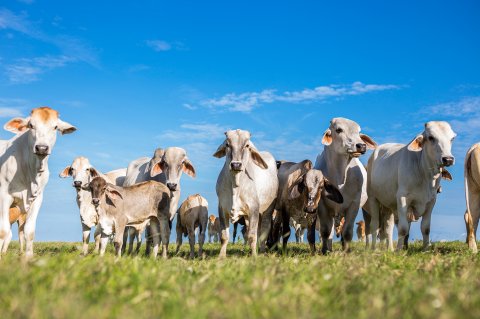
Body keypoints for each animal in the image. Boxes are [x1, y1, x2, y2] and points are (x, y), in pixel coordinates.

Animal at [0, 107, 76, 260]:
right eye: (31, 125)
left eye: (55, 127)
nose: (41, 148)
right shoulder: (4, 196)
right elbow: (3, 231)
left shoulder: (37, 198)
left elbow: (29, 231)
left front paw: (28, 258)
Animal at [214, 129, 278, 258]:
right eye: (227, 144)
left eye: (247, 145)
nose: (236, 165)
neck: (236, 185)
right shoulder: (222, 209)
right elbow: (224, 236)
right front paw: (221, 256)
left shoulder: (254, 209)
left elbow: (253, 236)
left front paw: (254, 256)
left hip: (267, 211)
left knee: (263, 231)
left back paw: (262, 251)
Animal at [314, 117, 376, 255]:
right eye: (339, 130)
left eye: (359, 132)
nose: (361, 146)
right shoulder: (322, 205)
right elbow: (325, 231)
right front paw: (325, 250)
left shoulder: (354, 204)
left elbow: (347, 232)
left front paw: (347, 251)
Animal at [366, 121, 456, 251]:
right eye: (431, 137)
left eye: (452, 138)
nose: (448, 159)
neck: (426, 175)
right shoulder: (402, 198)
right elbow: (403, 229)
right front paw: (399, 250)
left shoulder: (431, 201)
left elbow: (425, 228)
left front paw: (425, 249)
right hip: (373, 198)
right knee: (375, 225)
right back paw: (373, 249)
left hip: (387, 204)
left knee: (387, 228)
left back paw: (390, 249)